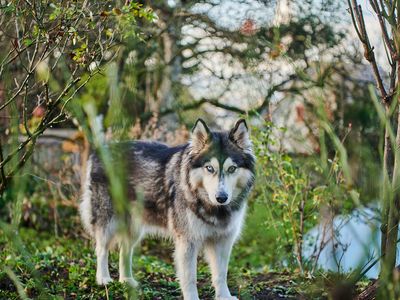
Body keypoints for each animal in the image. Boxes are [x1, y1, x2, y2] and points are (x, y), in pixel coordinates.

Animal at [80, 118, 256, 298]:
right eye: (209, 168)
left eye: (232, 169)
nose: (221, 198)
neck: (212, 208)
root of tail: (101, 148)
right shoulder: (187, 241)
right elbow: (190, 277)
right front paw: (192, 298)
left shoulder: (223, 240)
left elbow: (221, 274)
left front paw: (224, 297)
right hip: (107, 222)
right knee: (101, 249)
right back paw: (103, 279)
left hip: (134, 228)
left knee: (125, 251)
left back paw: (126, 281)